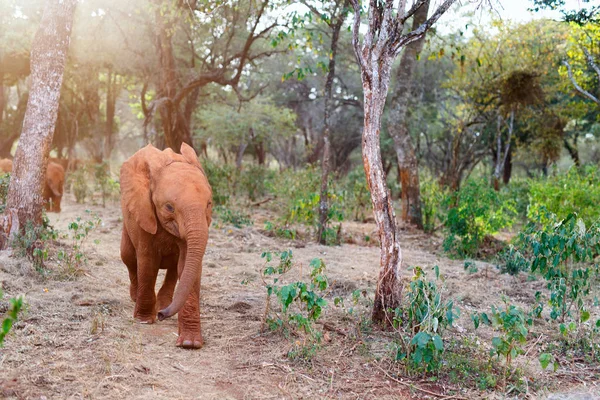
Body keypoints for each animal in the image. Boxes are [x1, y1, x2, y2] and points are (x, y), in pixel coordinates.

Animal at [118, 142, 212, 348]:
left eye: (209, 204)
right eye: (169, 207)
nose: (161, 316)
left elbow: (188, 266)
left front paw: (189, 343)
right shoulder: (144, 213)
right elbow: (148, 263)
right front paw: (144, 320)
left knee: (173, 269)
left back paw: (162, 304)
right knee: (128, 257)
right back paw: (138, 298)